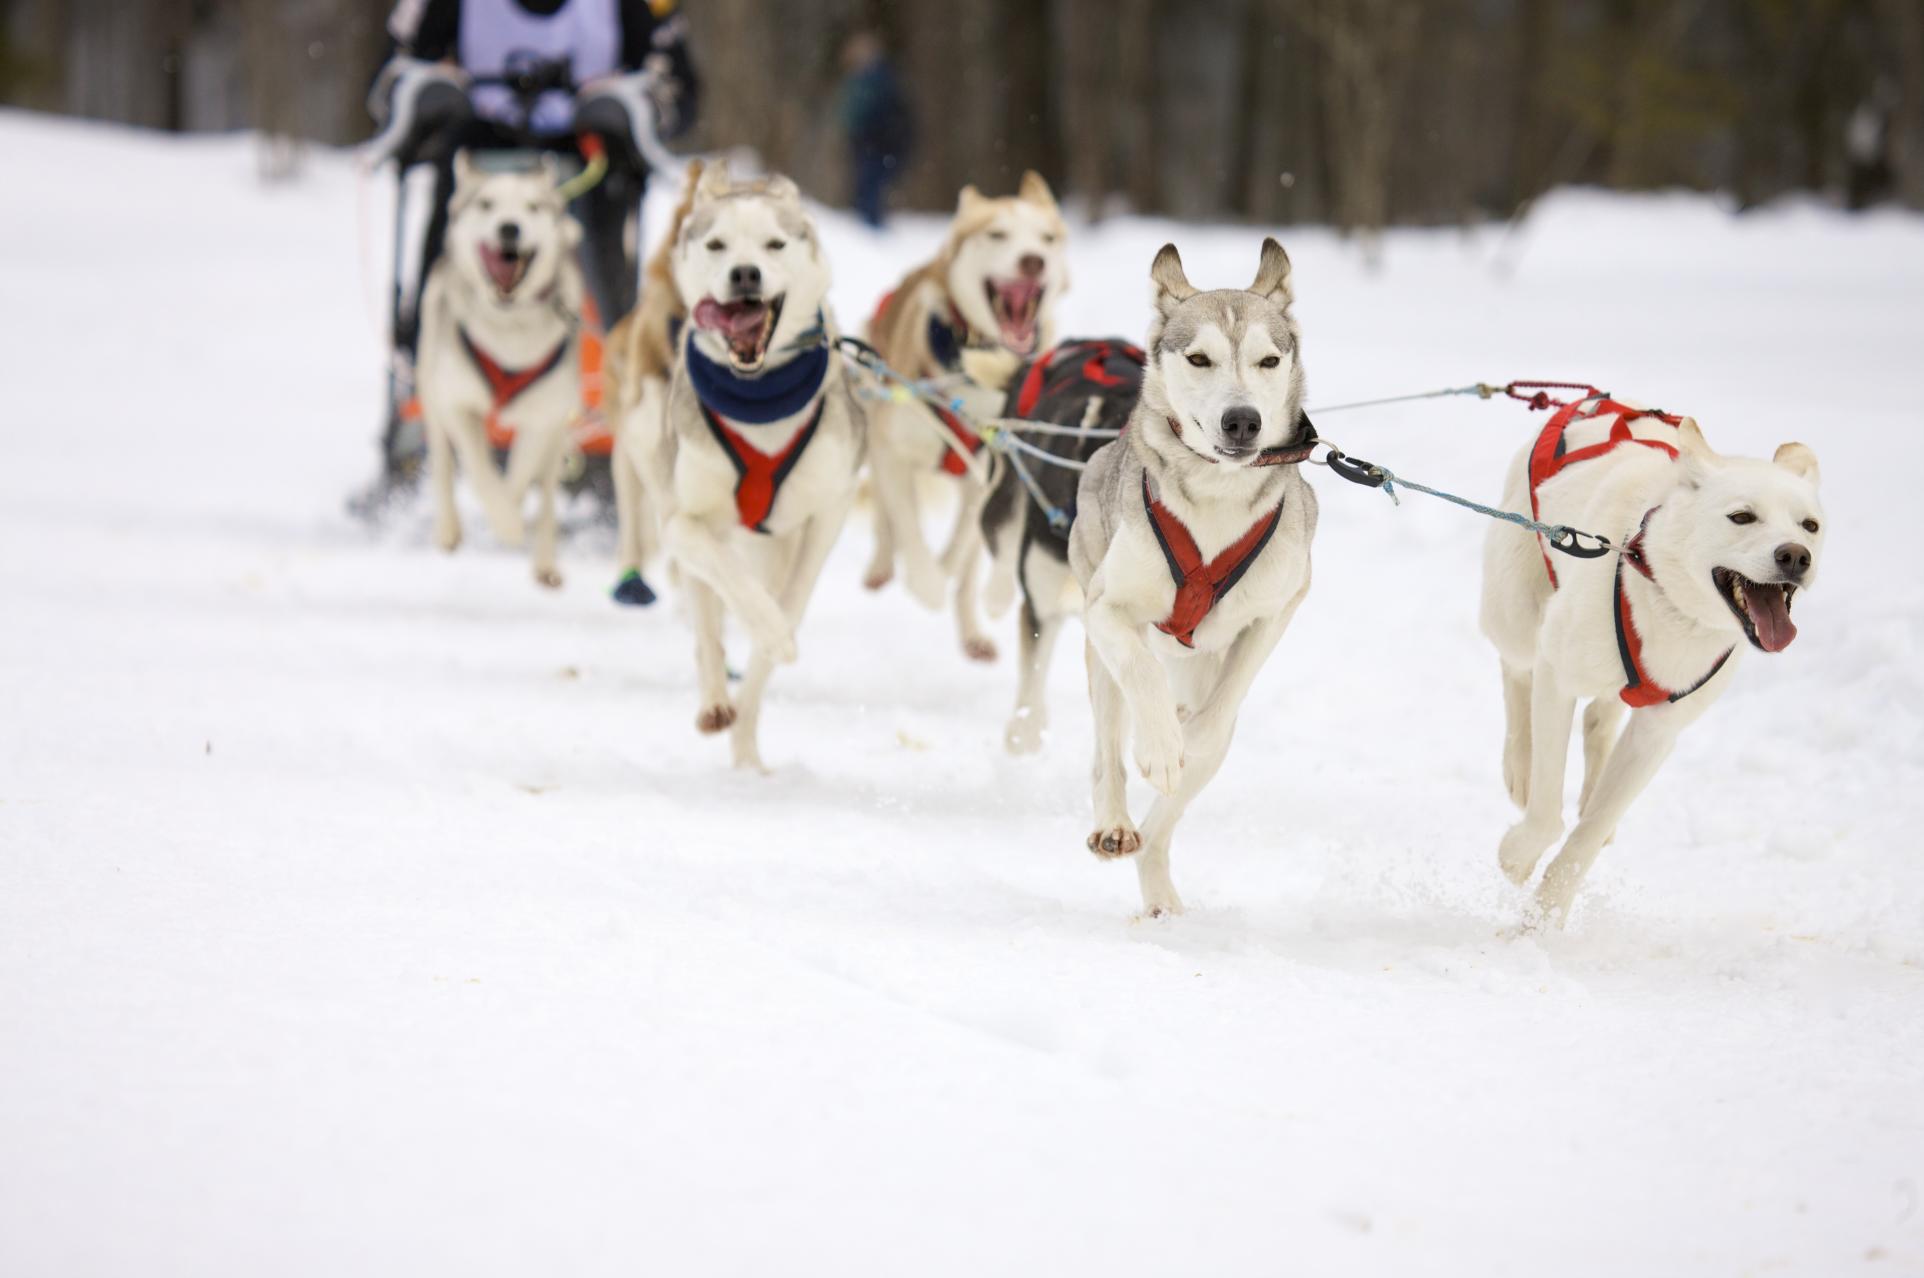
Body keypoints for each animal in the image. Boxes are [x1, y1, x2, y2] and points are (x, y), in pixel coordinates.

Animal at [413, 152, 577, 585]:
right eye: (486, 204)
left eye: (533, 207)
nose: (509, 227)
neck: (509, 326)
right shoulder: (457, 404)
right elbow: (480, 470)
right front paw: (503, 519)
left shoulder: (542, 418)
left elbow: (518, 477)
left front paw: (511, 521)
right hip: (431, 396)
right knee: (443, 464)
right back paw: (449, 530)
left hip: (559, 432)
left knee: (547, 492)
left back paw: (545, 562)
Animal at [650, 162, 861, 769]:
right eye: (717, 244)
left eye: (774, 244)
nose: (745, 273)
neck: (759, 396)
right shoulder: (681, 516)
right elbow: (722, 575)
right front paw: (761, 623)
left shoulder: (829, 508)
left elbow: (792, 601)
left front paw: (778, 632)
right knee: (706, 619)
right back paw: (717, 702)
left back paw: (746, 746)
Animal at [869, 173, 1077, 658]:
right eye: (997, 235)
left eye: (1047, 238)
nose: (1033, 261)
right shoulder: (893, 451)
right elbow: (906, 523)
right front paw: (925, 582)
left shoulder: (990, 468)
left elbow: (962, 544)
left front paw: (942, 571)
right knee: (886, 516)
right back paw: (883, 567)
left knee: (969, 566)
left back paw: (971, 631)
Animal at [1069, 242, 1323, 920]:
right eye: (1200, 358)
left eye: (1268, 359)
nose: (1243, 421)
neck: (1216, 499)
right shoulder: (1108, 609)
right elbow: (1139, 676)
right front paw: (1159, 745)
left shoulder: (1277, 609)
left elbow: (1218, 714)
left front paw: (1185, 742)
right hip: (1097, 652)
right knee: (1107, 747)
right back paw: (1115, 821)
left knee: (1163, 825)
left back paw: (1159, 888)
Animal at [1477, 394, 1823, 923]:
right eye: (1742, 517)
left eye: (1810, 525)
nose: (1796, 556)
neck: (1665, 596)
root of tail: (1590, 401)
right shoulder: (1558, 676)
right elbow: (1547, 815)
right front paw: (1517, 857)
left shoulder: (1658, 731)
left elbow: (1586, 840)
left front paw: (1547, 916)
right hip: (1514, 611)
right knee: (1516, 671)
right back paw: (1520, 767)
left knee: (1601, 719)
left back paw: (1592, 784)